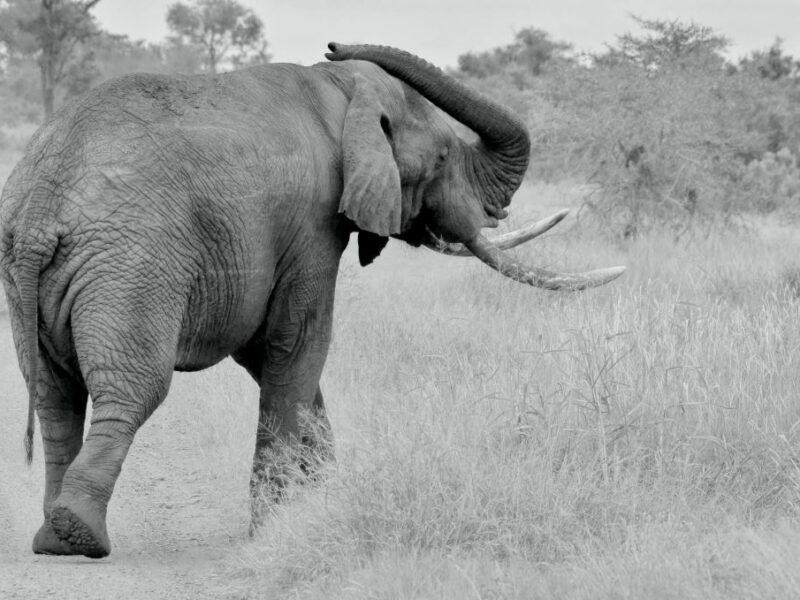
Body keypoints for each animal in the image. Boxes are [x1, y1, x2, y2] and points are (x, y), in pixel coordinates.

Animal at [0, 42, 624, 559]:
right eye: (445, 158)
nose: (333, 43)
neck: (341, 89)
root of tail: (40, 212)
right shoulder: (312, 222)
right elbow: (297, 342)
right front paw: (275, 528)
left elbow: (274, 357)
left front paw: (322, 499)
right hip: (132, 265)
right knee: (131, 389)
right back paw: (81, 536)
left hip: (34, 275)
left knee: (55, 395)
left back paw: (52, 539)